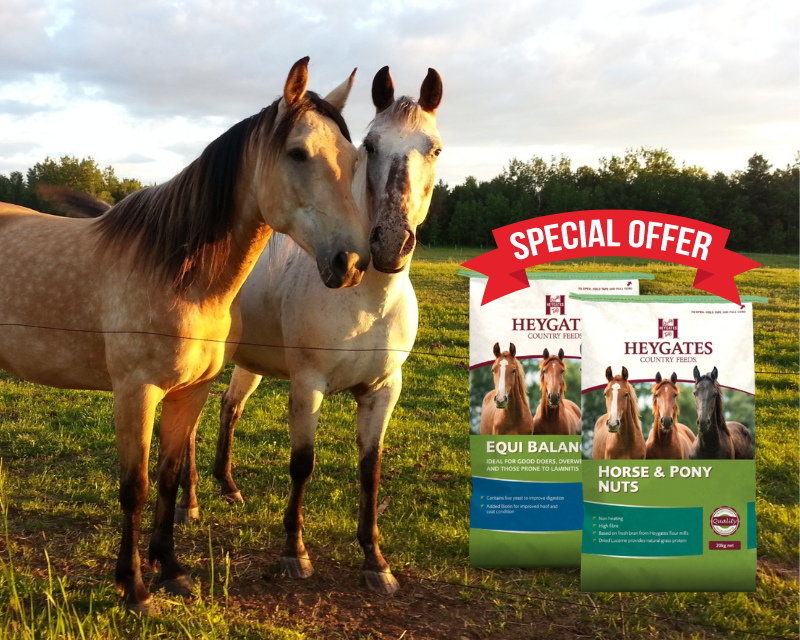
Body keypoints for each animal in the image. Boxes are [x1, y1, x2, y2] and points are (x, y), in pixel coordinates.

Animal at [0, 57, 369, 613]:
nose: (349, 264)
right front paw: (133, 588)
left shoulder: (189, 393)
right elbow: (135, 487)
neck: (179, 274)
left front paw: (170, 570)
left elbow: (170, 478)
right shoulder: (136, 392)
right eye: (298, 153)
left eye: (352, 158)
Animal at [170, 67, 443, 594]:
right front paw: (294, 553)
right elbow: (303, 465)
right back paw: (188, 504)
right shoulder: (307, 385)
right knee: (188, 427)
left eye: (434, 148)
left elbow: (370, 470)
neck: (366, 302)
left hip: (247, 365)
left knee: (229, 409)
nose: (389, 243)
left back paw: (227, 487)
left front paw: (375, 560)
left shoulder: (384, 390)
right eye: (370, 146)